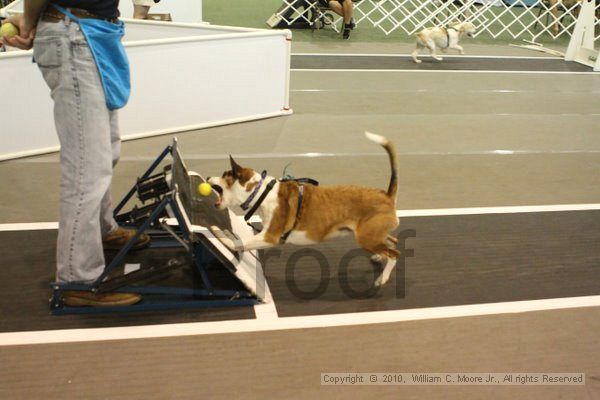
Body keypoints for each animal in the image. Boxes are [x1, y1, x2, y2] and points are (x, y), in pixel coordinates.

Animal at [209, 134, 400, 288]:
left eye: (224, 174)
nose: (208, 177)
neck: (261, 192)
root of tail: (386, 195)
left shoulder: (268, 237)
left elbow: (240, 242)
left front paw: (222, 238)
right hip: (371, 234)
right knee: (393, 241)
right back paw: (379, 257)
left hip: (366, 238)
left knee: (394, 254)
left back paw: (382, 277)